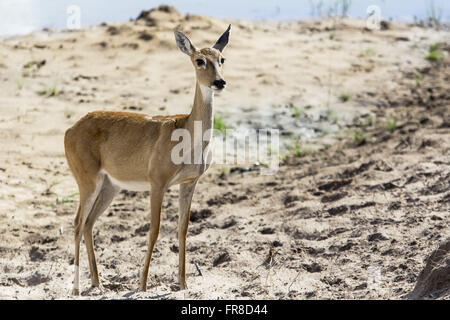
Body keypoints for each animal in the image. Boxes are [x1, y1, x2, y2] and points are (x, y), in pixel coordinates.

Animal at [64, 25, 229, 296]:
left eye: (221, 58)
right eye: (199, 60)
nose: (220, 82)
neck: (187, 134)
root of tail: (70, 129)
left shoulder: (189, 183)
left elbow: (183, 229)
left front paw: (183, 283)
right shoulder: (157, 184)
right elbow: (154, 230)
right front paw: (142, 285)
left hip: (110, 187)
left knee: (88, 224)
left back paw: (98, 283)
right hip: (87, 182)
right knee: (77, 223)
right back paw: (77, 288)